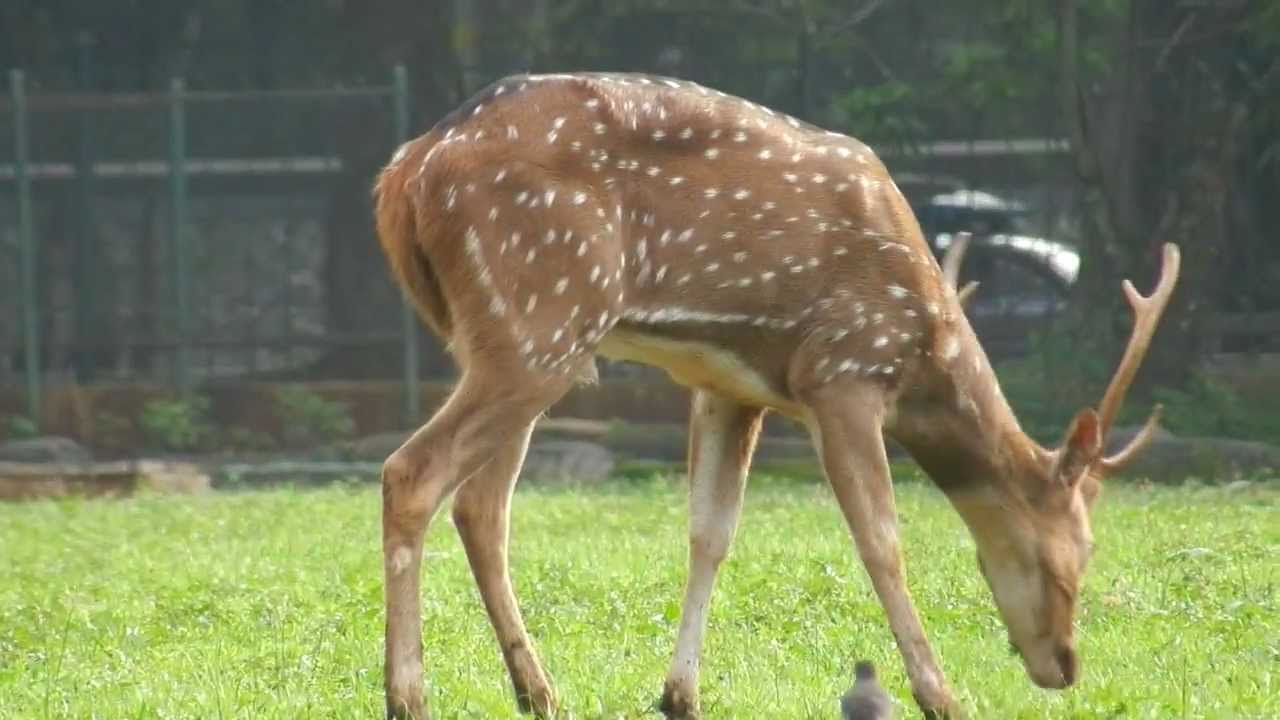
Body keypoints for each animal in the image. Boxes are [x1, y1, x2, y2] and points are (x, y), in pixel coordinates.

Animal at [371, 72, 1179, 720]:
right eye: (1079, 549)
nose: (1064, 666)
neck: (924, 349)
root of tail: (404, 174)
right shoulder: (843, 372)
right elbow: (881, 539)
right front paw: (941, 694)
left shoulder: (728, 387)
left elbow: (711, 532)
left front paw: (680, 693)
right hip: (540, 318)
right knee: (411, 473)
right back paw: (408, 694)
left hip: (505, 339)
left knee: (481, 507)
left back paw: (538, 691)